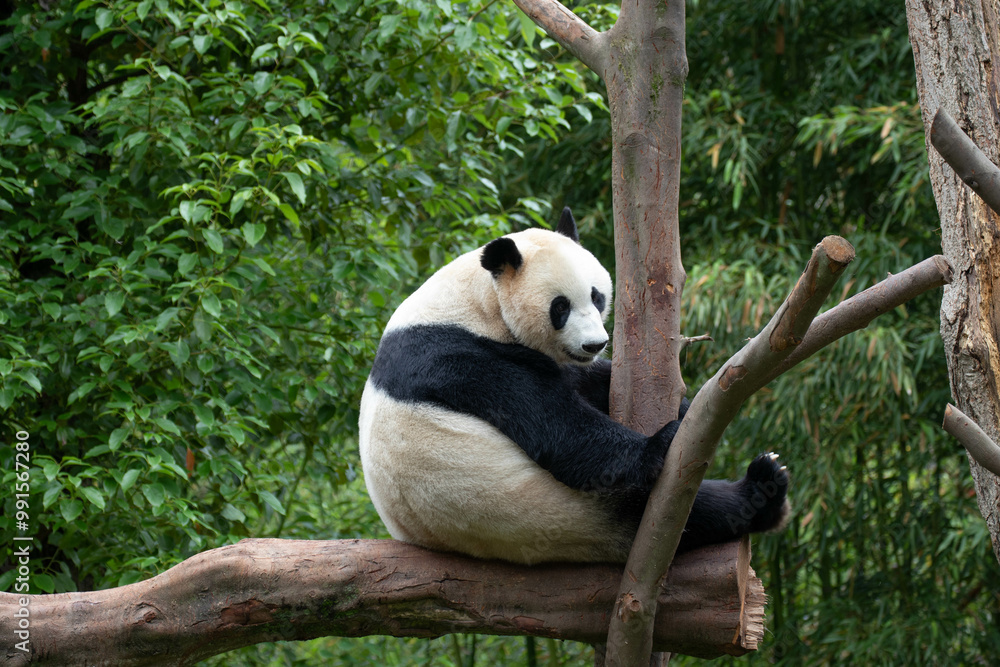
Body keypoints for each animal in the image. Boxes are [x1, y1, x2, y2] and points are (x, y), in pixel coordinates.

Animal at [358, 209, 790, 564]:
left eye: (597, 297)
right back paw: (763, 490)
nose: (595, 345)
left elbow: (583, 382)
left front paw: (685, 406)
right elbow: (559, 428)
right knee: (689, 508)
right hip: (566, 510)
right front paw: (665, 439)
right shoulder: (460, 358)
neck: (477, 302)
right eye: (560, 307)